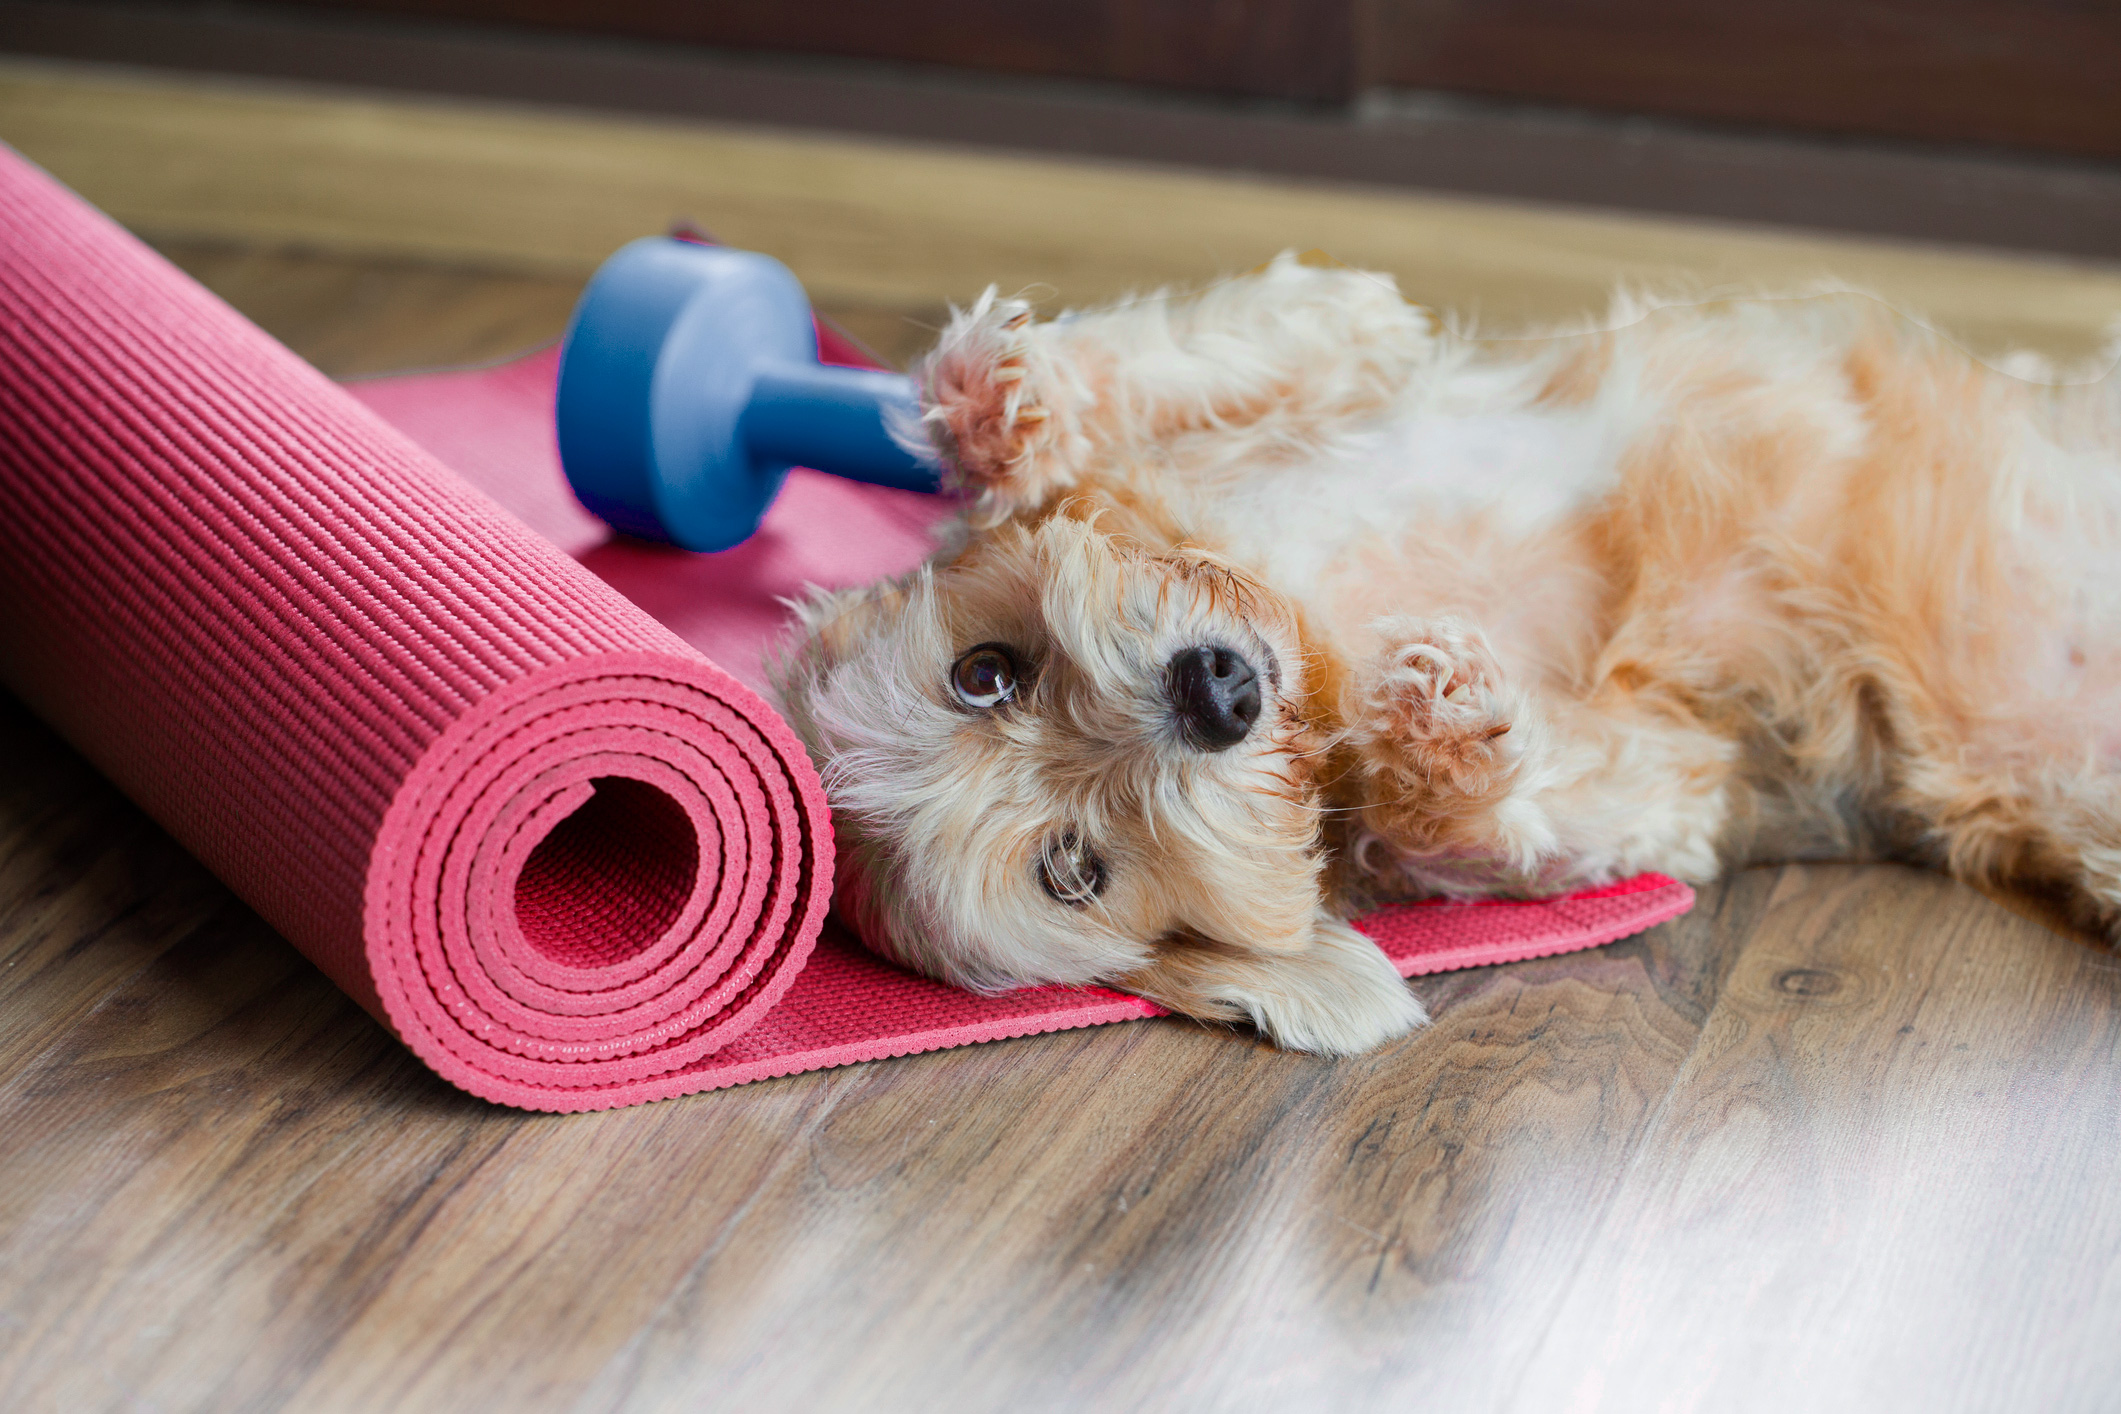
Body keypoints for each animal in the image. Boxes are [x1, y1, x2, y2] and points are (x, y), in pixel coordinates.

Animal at [776, 251, 2121, 1051]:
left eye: (985, 672)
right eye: (1072, 868)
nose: (1217, 689)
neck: (1313, 631)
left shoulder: (1331, 362)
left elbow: (1280, 333)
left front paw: (998, 403)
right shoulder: (1666, 778)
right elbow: (1511, 809)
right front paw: (1438, 730)